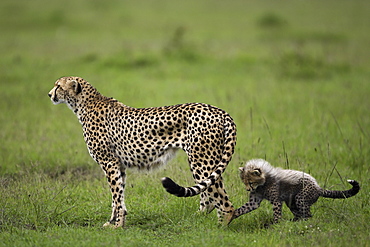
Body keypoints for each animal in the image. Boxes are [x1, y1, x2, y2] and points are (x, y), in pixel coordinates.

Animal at [47, 76, 237, 229]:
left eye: (58, 86)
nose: (49, 94)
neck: (84, 104)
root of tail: (219, 110)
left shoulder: (109, 162)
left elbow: (116, 197)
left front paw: (117, 226)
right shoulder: (119, 165)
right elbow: (118, 197)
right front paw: (114, 222)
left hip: (201, 160)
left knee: (223, 200)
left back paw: (220, 226)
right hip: (205, 159)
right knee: (209, 194)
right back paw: (199, 218)